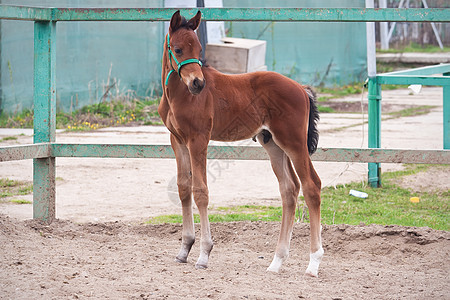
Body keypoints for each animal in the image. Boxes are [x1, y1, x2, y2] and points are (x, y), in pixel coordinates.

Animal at [158, 10, 324, 278]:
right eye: (178, 49)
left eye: (199, 49)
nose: (198, 84)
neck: (179, 94)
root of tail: (301, 88)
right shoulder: (177, 140)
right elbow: (184, 188)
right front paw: (184, 250)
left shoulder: (198, 140)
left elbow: (201, 191)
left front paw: (204, 254)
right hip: (272, 144)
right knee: (289, 189)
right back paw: (276, 262)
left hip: (294, 143)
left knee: (312, 186)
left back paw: (313, 263)